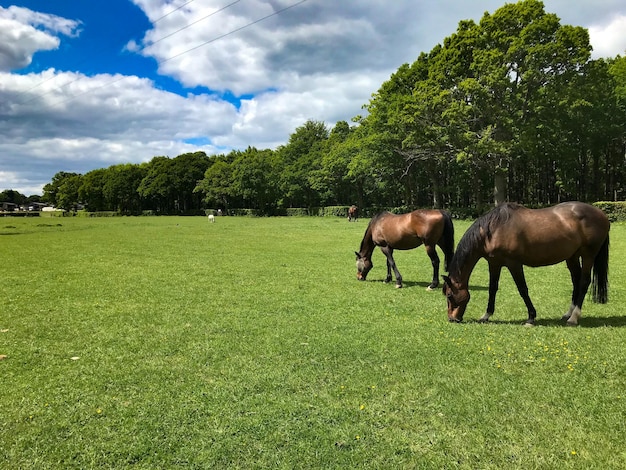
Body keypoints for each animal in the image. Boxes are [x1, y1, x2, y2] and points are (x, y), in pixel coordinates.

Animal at [442, 202, 608, 326]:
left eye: (449, 295)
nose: (452, 318)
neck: (494, 229)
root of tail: (602, 214)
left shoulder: (514, 264)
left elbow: (522, 289)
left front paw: (531, 317)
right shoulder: (494, 263)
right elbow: (492, 289)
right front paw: (486, 315)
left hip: (588, 256)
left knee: (584, 282)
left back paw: (574, 318)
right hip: (572, 257)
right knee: (576, 281)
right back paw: (568, 313)